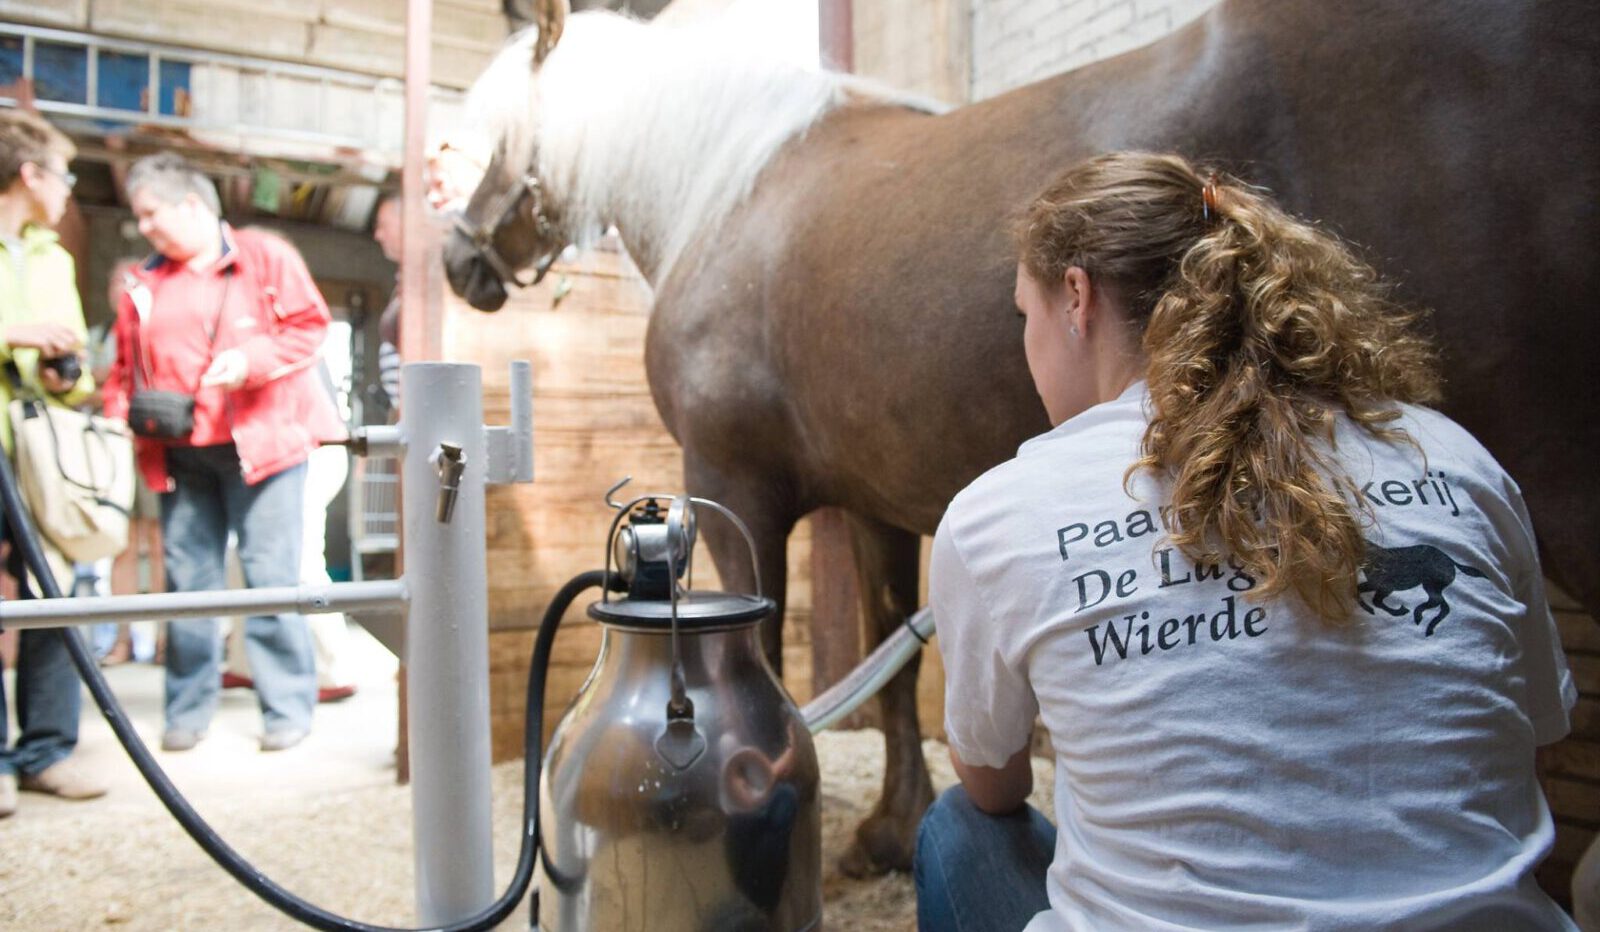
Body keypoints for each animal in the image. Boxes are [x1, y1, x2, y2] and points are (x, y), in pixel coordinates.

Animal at [448, 0, 1600, 877]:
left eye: (492, 132)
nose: (459, 262)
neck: (729, 192)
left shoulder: (735, 482)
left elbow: (761, 656)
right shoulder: (874, 502)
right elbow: (895, 661)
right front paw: (888, 832)